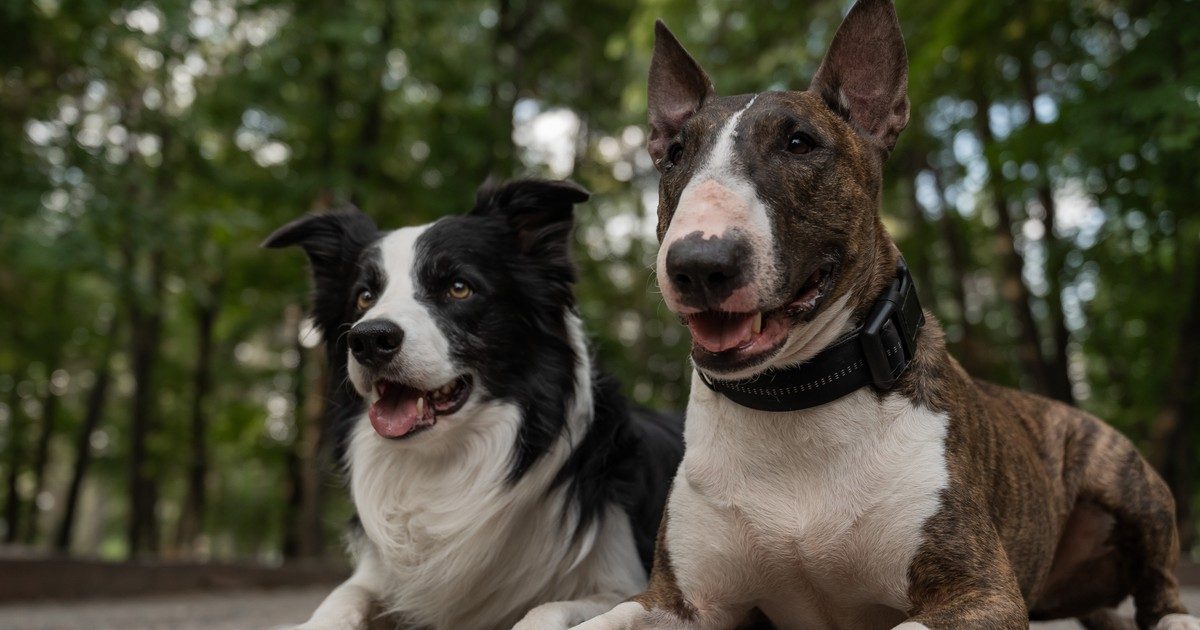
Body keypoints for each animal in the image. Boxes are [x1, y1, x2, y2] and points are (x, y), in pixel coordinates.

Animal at [266, 176, 686, 628]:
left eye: (458, 287)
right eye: (364, 296)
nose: (369, 339)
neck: (443, 464)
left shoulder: (624, 579)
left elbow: (543, 609)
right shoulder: (378, 578)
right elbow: (340, 600)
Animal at [576, 1, 1195, 628]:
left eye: (799, 143)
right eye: (676, 155)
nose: (699, 265)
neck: (795, 403)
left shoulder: (981, 591)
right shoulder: (677, 600)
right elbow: (602, 618)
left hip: (1133, 487)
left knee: (1161, 585)